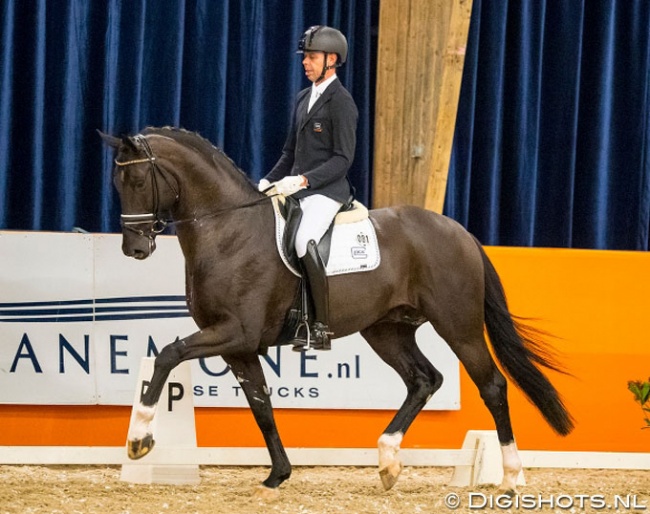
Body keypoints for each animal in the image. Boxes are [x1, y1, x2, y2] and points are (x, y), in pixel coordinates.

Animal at [98, 125, 568, 496]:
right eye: (118, 183)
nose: (134, 248)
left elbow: (167, 355)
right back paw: (388, 462)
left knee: (492, 386)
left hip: (459, 326)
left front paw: (139, 440)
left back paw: (510, 477)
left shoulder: (235, 332)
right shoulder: (239, 346)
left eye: (137, 179)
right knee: (424, 380)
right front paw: (278, 474)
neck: (228, 230)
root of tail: (461, 232)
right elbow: (261, 406)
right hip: (386, 330)